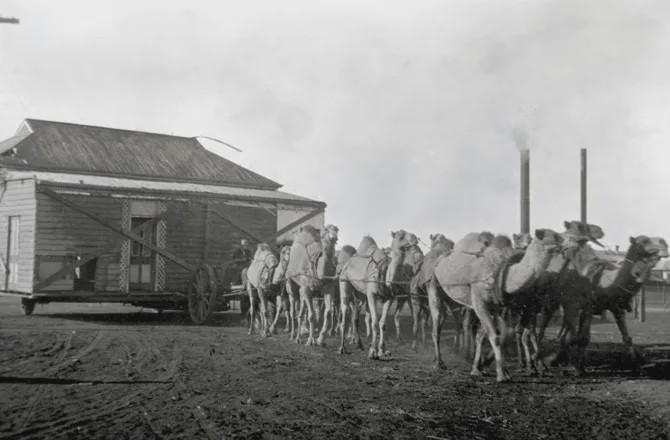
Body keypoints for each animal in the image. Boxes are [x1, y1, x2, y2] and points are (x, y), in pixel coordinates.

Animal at [342, 230, 414, 358]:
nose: (414, 239)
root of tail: (347, 263)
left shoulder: (389, 298)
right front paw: (372, 352)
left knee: (355, 317)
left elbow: (382, 323)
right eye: (401, 236)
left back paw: (359, 344)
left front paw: (381, 350)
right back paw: (342, 348)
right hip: (345, 282)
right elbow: (374, 322)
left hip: (360, 295)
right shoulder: (372, 295)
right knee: (345, 313)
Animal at [430, 230, 568, 382]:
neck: (502, 274)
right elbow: (495, 336)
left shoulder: (495, 307)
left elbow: (494, 336)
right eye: (554, 235)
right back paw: (439, 363)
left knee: (456, 321)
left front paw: (478, 369)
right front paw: (502, 375)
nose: (569, 241)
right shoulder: (480, 303)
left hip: (456, 301)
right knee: (437, 325)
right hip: (434, 286)